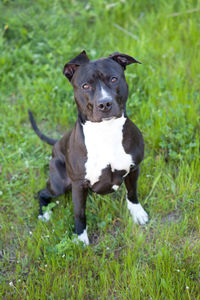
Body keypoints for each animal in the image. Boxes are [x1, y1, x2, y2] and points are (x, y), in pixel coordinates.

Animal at [29, 50, 148, 245]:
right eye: (85, 86)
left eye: (114, 79)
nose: (105, 103)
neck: (106, 131)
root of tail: (57, 143)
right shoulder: (78, 185)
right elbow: (79, 213)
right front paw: (80, 238)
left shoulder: (133, 168)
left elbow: (132, 193)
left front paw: (137, 213)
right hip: (60, 184)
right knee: (43, 193)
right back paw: (44, 215)